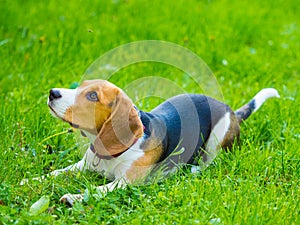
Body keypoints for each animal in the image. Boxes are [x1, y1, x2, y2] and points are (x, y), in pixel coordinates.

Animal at [45, 79, 280, 206]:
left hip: (216, 138)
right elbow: (55, 173)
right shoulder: (81, 166)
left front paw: (73, 197)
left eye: (93, 96)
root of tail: (232, 111)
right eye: (81, 87)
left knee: (210, 163)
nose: (52, 92)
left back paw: (192, 170)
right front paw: (36, 179)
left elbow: (97, 190)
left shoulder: (125, 183)